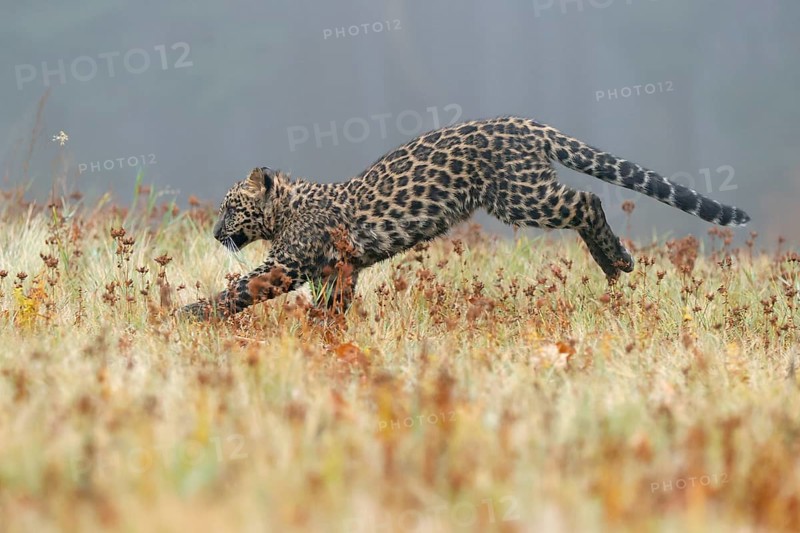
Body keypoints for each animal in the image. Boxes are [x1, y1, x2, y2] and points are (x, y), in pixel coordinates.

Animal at [180, 116, 750, 319]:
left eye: (230, 207)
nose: (214, 232)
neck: (287, 206)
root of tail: (528, 124)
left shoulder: (289, 262)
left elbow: (243, 287)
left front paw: (190, 314)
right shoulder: (338, 269)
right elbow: (331, 307)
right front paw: (324, 333)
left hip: (521, 196)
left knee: (587, 201)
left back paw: (616, 263)